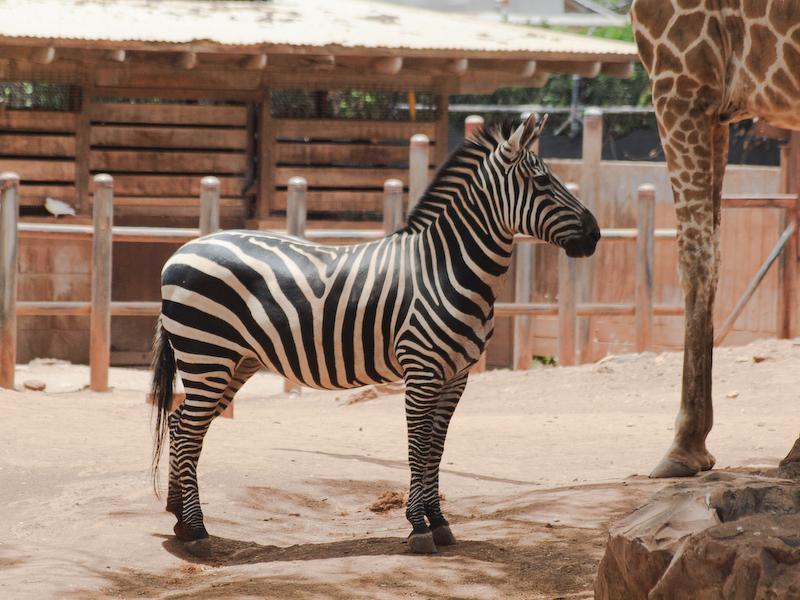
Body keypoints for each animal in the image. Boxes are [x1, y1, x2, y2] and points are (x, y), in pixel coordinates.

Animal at [150, 114, 600, 555]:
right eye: (542, 182)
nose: (595, 234)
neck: (445, 268)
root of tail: (180, 251)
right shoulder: (422, 370)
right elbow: (418, 446)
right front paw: (419, 526)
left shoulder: (456, 375)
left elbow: (436, 448)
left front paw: (439, 522)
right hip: (207, 354)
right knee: (187, 432)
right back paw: (198, 531)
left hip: (233, 361)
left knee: (181, 424)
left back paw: (179, 519)